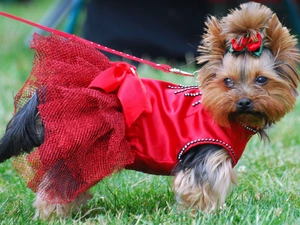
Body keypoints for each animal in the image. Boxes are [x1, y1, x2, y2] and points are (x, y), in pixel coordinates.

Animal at [0, 1, 298, 219]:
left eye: (261, 80)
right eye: (227, 82)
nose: (244, 102)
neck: (228, 116)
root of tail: (44, 93)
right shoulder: (205, 156)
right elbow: (200, 189)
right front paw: (202, 214)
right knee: (55, 186)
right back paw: (53, 215)